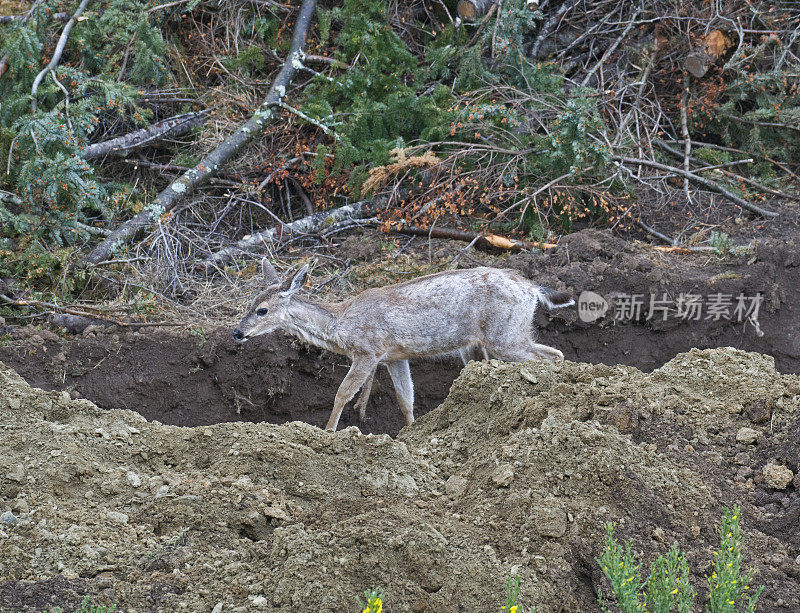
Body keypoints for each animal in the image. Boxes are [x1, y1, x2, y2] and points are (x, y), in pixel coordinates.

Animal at [233, 258, 576, 430]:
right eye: (250, 303)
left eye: (262, 310)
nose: (237, 332)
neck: (340, 324)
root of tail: (531, 287)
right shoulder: (395, 356)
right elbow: (405, 398)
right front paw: (409, 434)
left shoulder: (368, 350)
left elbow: (342, 392)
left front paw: (328, 433)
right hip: (482, 344)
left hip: (506, 334)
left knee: (555, 355)